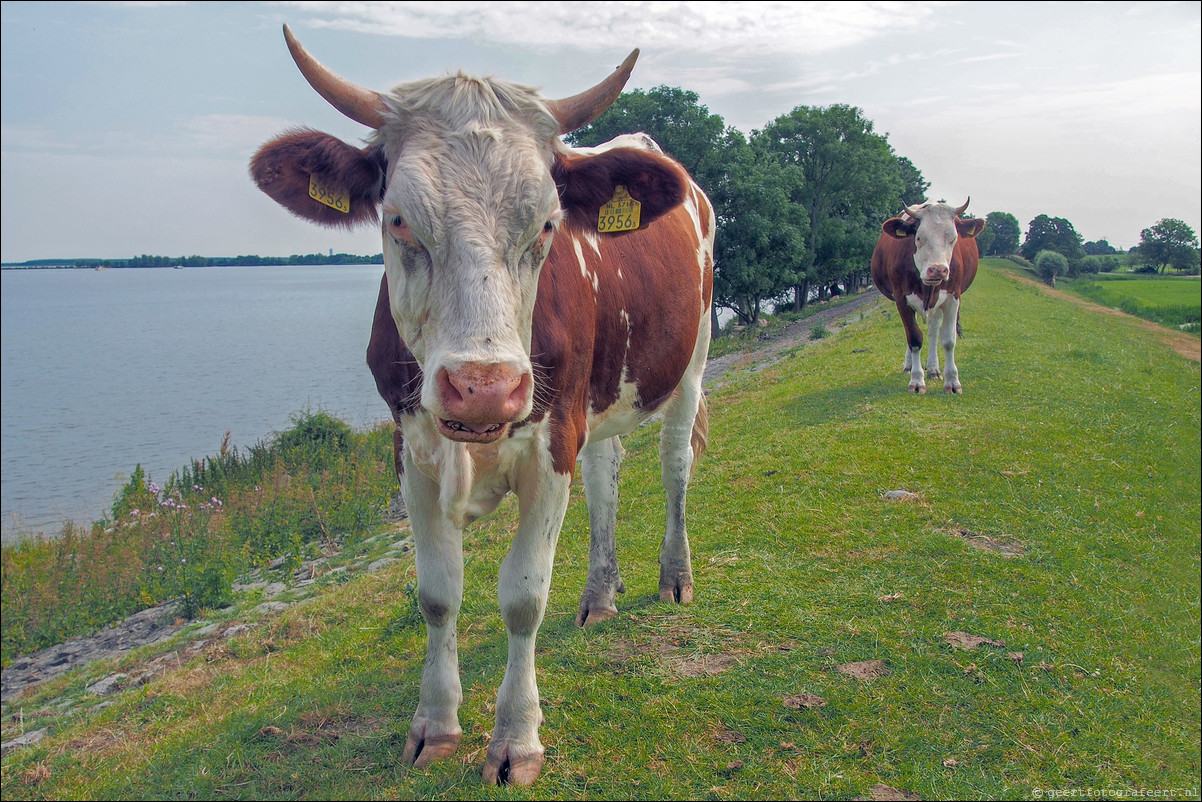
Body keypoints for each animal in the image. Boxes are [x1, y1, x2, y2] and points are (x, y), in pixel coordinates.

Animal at [246, 23, 711, 783]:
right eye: (399, 220)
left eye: (548, 224)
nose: (485, 386)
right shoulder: (412, 450)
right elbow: (438, 593)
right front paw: (434, 725)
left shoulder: (551, 443)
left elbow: (522, 596)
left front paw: (515, 740)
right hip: (598, 405)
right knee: (606, 479)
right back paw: (599, 595)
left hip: (688, 365)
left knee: (674, 464)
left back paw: (674, 577)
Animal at [875, 200, 985, 394]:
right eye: (919, 237)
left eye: (953, 238)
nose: (938, 270)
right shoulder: (902, 299)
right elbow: (914, 338)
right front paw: (917, 381)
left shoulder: (953, 298)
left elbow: (948, 340)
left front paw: (952, 382)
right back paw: (910, 365)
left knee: (934, 331)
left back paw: (933, 368)